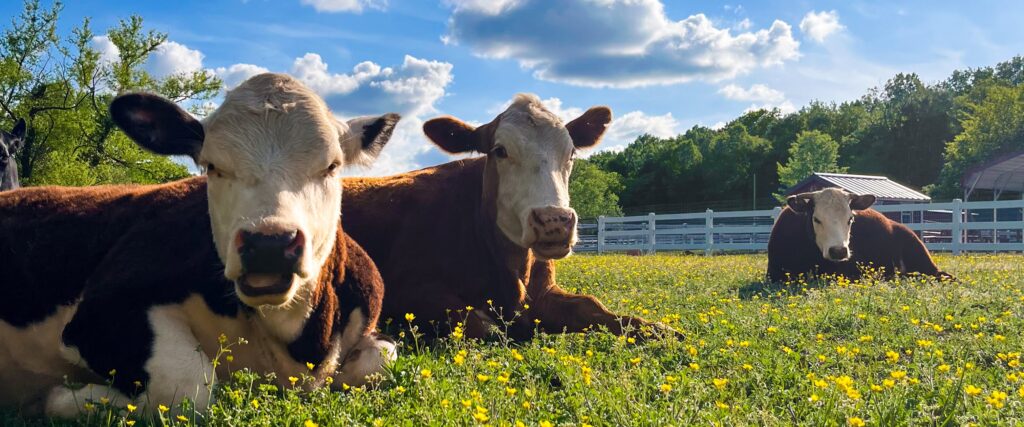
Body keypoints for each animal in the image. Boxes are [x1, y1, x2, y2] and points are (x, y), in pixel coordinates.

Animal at [0, 73, 400, 417]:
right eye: (213, 167)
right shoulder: (100, 311)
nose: (268, 243)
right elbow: (187, 388)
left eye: (331, 166)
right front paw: (68, 397)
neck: (295, 338)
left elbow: (380, 359)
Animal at [343, 94, 676, 340]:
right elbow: (483, 325)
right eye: (500, 150)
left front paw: (661, 330)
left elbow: (592, 306)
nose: (554, 221)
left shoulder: (545, 291)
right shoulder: (407, 290)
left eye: (571, 154)